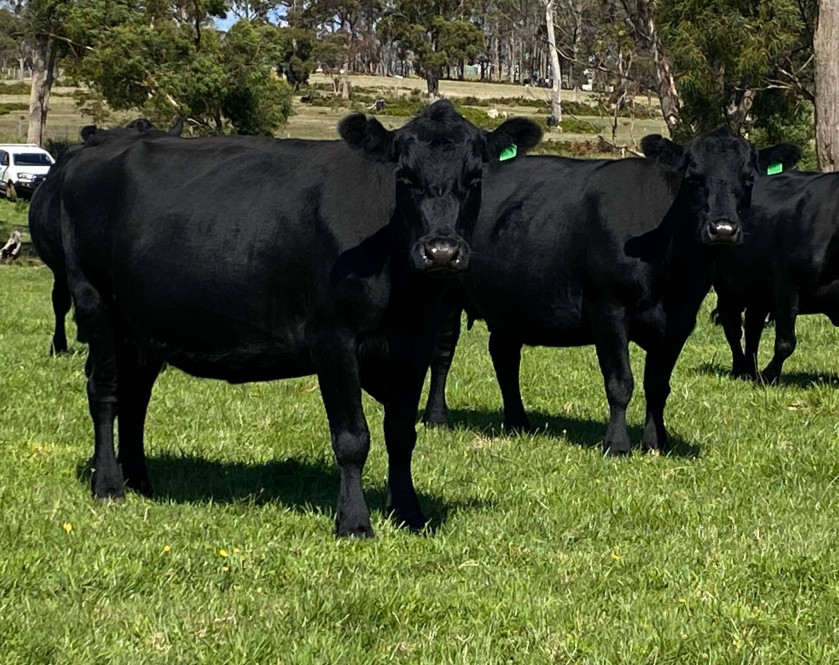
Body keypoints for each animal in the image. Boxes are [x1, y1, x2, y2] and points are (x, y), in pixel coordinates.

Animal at [57, 100, 541, 537]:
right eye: (404, 177)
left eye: (475, 178)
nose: (441, 252)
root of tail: (96, 150)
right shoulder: (333, 340)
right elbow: (352, 438)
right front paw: (354, 521)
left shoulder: (414, 344)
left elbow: (401, 433)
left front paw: (408, 512)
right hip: (95, 303)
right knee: (105, 392)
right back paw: (109, 484)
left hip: (143, 328)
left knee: (135, 397)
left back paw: (140, 480)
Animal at [421, 126, 799, 455]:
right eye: (694, 178)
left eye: (749, 179)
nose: (723, 229)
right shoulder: (608, 309)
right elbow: (620, 383)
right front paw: (616, 444)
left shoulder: (680, 321)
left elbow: (658, 384)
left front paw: (656, 441)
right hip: (447, 288)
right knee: (442, 352)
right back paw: (436, 418)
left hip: (510, 302)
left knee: (504, 355)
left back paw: (518, 422)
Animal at [712, 168, 839, 384]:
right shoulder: (787, 286)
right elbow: (786, 342)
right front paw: (769, 376)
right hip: (726, 285)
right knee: (733, 326)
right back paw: (740, 369)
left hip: (758, 293)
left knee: (752, 328)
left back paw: (751, 370)